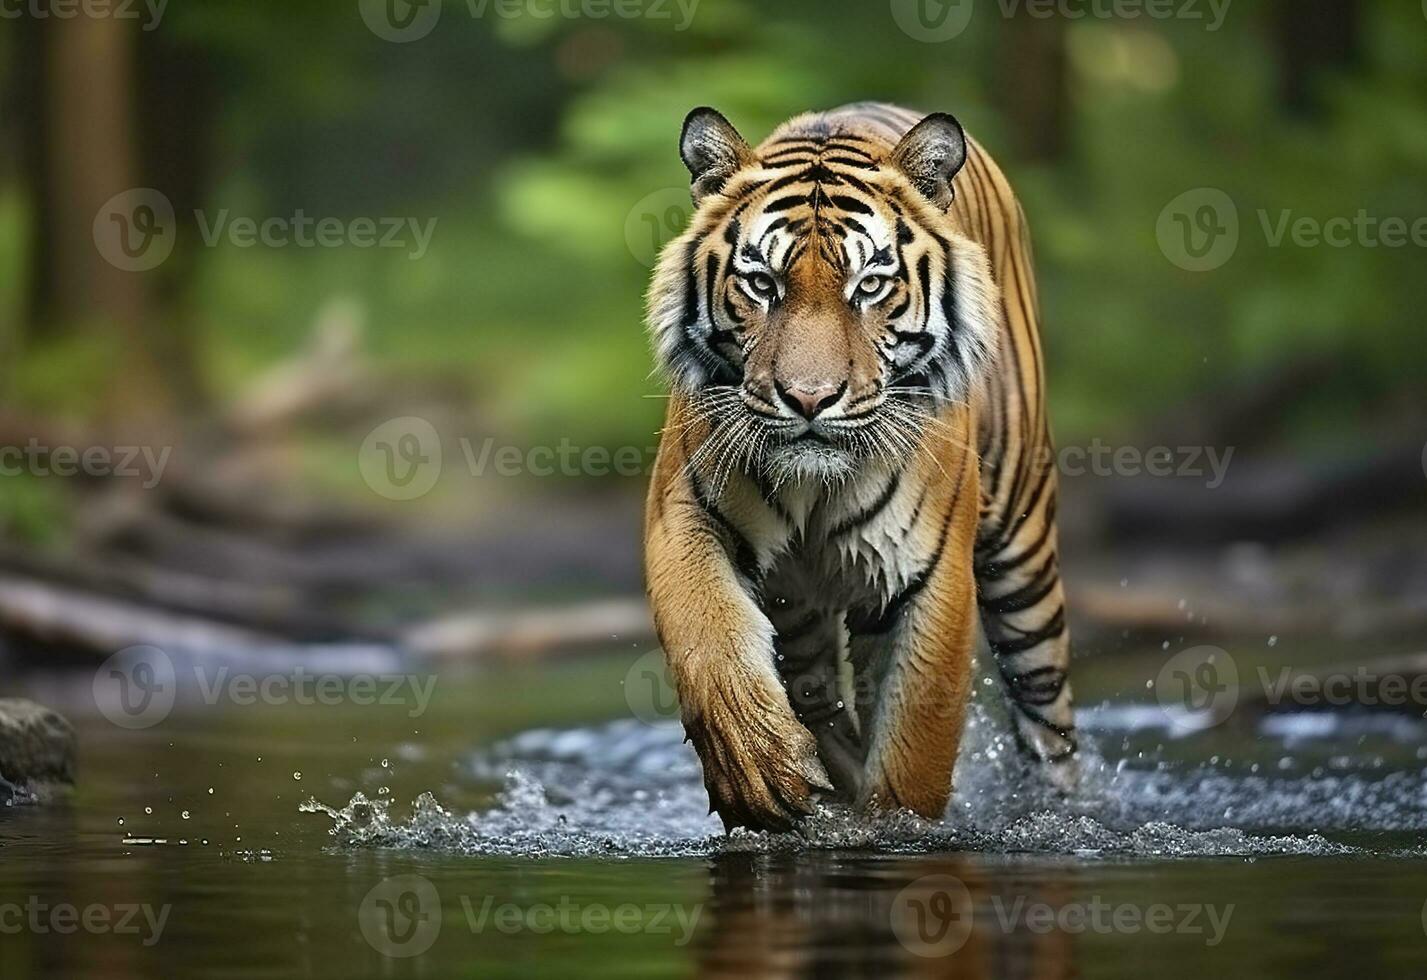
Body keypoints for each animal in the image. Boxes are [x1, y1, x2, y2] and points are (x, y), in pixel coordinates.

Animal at [645, 103, 1073, 833]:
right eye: (762, 284)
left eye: (869, 285)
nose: (809, 398)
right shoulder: (684, 511)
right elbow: (705, 634)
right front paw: (757, 768)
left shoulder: (931, 572)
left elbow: (913, 751)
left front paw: (891, 825)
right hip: (796, 606)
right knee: (816, 691)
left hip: (1023, 558)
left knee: (1049, 722)